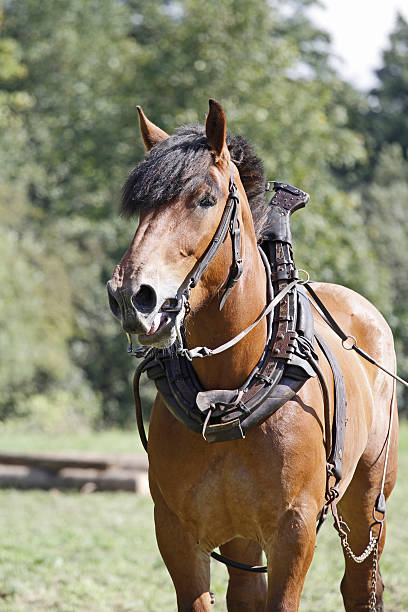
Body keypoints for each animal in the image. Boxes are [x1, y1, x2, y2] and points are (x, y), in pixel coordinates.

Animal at [107, 98, 398, 608]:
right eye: (140, 208)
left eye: (205, 199)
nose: (131, 297)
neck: (230, 385)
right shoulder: (177, 535)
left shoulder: (294, 532)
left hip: (368, 499)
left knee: (362, 583)